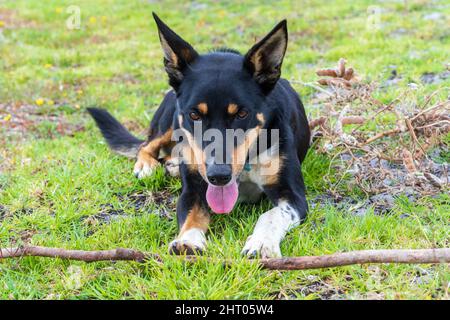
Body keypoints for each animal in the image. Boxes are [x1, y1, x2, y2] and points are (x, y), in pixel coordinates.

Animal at [89, 12, 312, 258]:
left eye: (242, 114)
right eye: (195, 114)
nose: (219, 176)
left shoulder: (293, 196)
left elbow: (270, 215)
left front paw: (262, 243)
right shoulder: (193, 189)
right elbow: (192, 214)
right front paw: (188, 240)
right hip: (170, 120)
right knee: (146, 145)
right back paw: (148, 165)